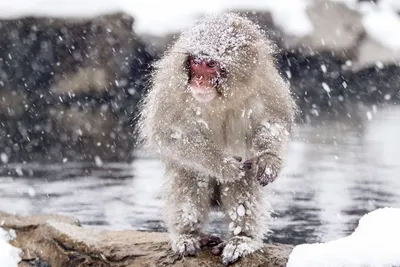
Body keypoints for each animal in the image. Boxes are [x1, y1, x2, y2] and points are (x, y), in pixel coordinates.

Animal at [138, 12, 296, 266]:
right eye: (195, 62)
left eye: (211, 64)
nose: (198, 81)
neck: (220, 99)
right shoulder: (172, 88)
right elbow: (168, 133)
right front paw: (223, 165)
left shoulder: (265, 83)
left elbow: (273, 122)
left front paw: (269, 160)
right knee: (191, 174)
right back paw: (188, 235)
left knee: (245, 178)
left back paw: (241, 239)